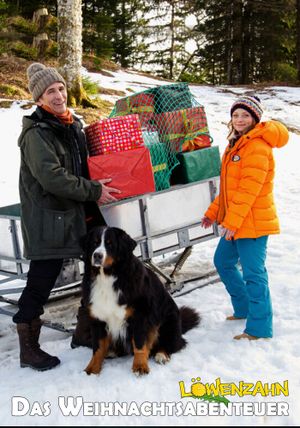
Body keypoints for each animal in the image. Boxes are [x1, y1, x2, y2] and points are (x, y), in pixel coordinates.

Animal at [81, 226, 200, 376]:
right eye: (94, 243)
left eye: (110, 244)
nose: (97, 255)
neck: (107, 276)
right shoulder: (98, 318)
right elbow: (97, 347)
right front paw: (92, 368)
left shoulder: (140, 315)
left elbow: (139, 343)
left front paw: (139, 366)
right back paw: (111, 352)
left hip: (169, 321)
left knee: (173, 344)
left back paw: (162, 355)